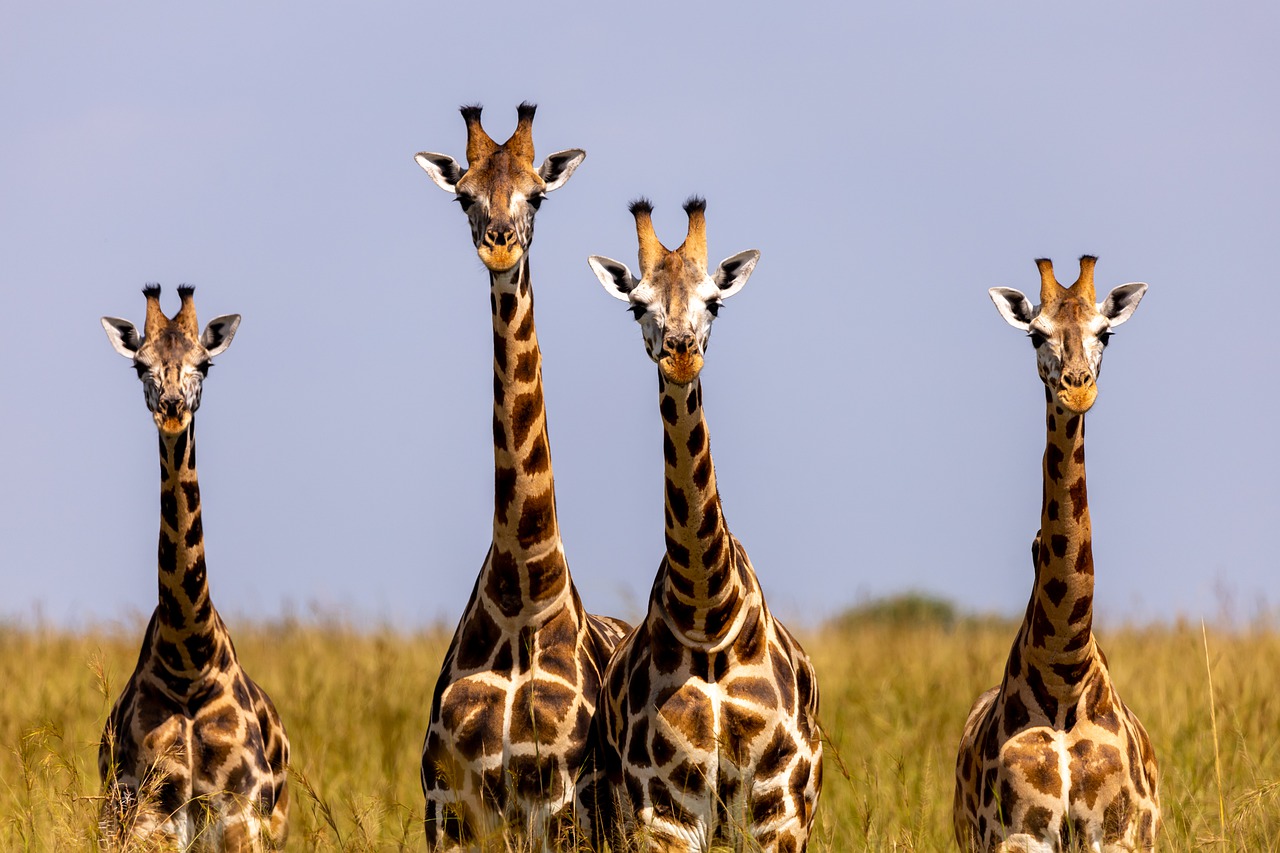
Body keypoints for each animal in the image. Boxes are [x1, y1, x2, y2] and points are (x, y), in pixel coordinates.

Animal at [98, 285, 289, 851]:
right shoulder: (148, 812)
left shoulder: (241, 813)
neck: (187, 660)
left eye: (204, 364)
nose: (171, 409)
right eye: (140, 365)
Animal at [413, 103, 632, 850]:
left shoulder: (562, 806)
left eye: (536, 195)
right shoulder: (448, 804)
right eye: (464, 196)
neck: (519, 596)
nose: (501, 246)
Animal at [586, 198, 822, 852]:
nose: (681, 350)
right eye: (637, 304)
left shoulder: (778, 811)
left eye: (715, 301)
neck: (707, 615)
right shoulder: (663, 811)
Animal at [953, 256, 1159, 852]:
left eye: (1105, 333)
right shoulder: (1018, 834)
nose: (1076, 390)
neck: (1065, 675)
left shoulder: (1115, 835)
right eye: (1035, 335)